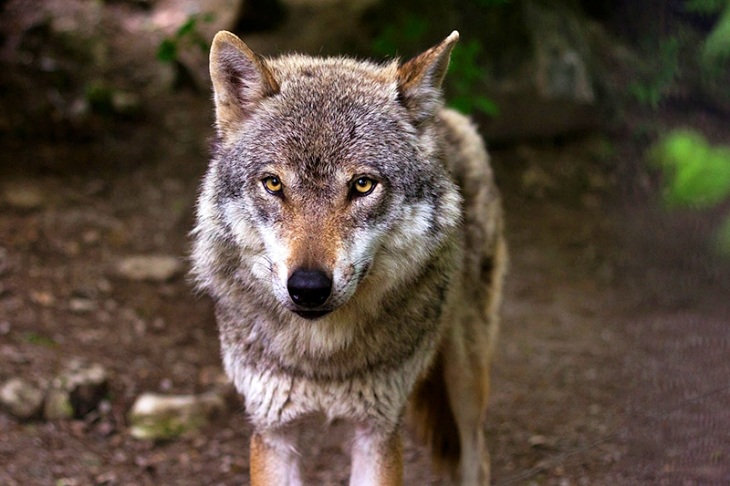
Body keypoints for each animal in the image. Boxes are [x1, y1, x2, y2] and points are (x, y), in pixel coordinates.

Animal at [191, 29, 507, 485]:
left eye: (362, 185)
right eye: (273, 183)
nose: (308, 288)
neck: (322, 358)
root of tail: (445, 116)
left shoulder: (377, 431)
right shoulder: (273, 431)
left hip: (465, 377)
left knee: (476, 455)